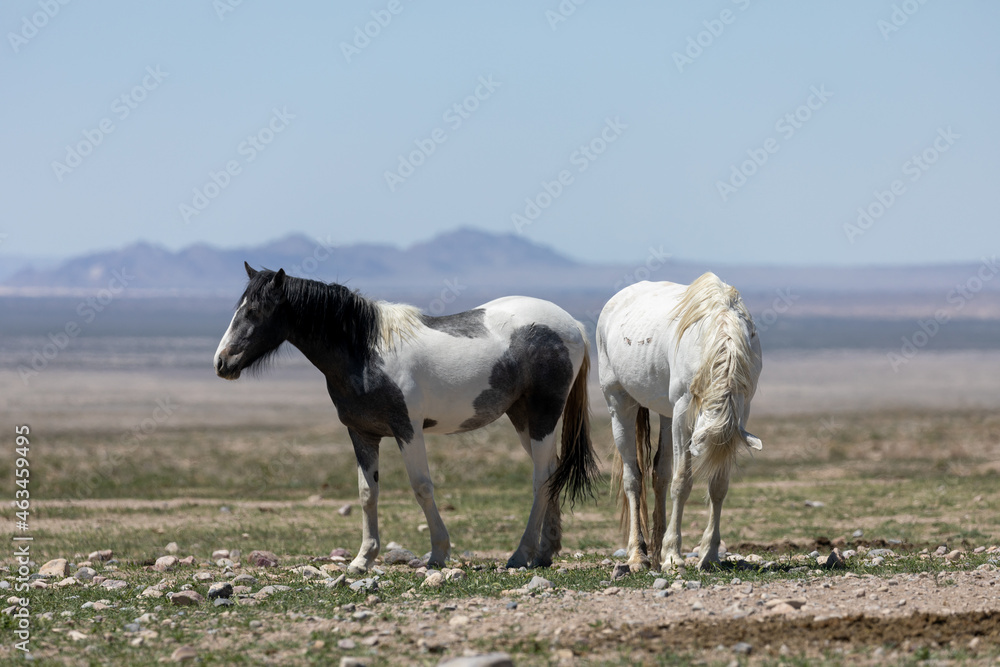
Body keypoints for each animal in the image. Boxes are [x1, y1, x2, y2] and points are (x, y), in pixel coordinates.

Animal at [214, 262, 598, 574]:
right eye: (238, 309)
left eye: (256, 310)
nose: (221, 362)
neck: (366, 351)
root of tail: (573, 326)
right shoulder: (362, 433)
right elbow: (367, 492)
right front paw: (362, 559)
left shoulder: (408, 430)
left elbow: (422, 487)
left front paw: (438, 554)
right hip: (522, 419)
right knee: (551, 472)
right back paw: (545, 552)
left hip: (544, 415)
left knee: (541, 479)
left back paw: (520, 555)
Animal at [596, 272, 762, 571]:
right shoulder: (683, 413)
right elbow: (682, 482)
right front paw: (673, 556)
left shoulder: (741, 410)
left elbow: (718, 487)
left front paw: (709, 555)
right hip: (620, 404)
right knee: (633, 479)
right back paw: (638, 556)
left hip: (665, 413)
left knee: (659, 475)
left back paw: (655, 552)